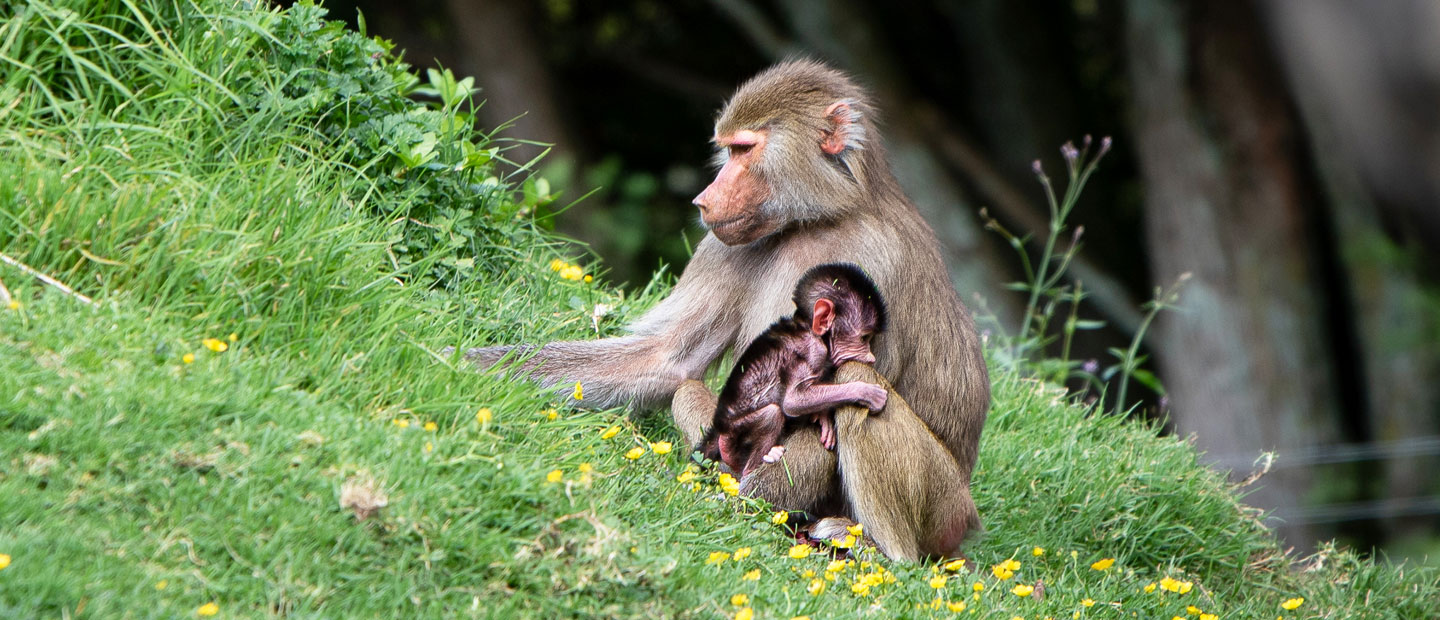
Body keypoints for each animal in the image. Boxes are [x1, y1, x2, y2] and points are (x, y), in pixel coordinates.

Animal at [699, 263, 889, 478]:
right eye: (864, 338)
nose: (871, 358)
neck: (809, 328)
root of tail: (719, 425)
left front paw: (822, 416)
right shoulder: (813, 351)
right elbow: (792, 402)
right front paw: (866, 392)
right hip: (735, 430)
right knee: (771, 414)